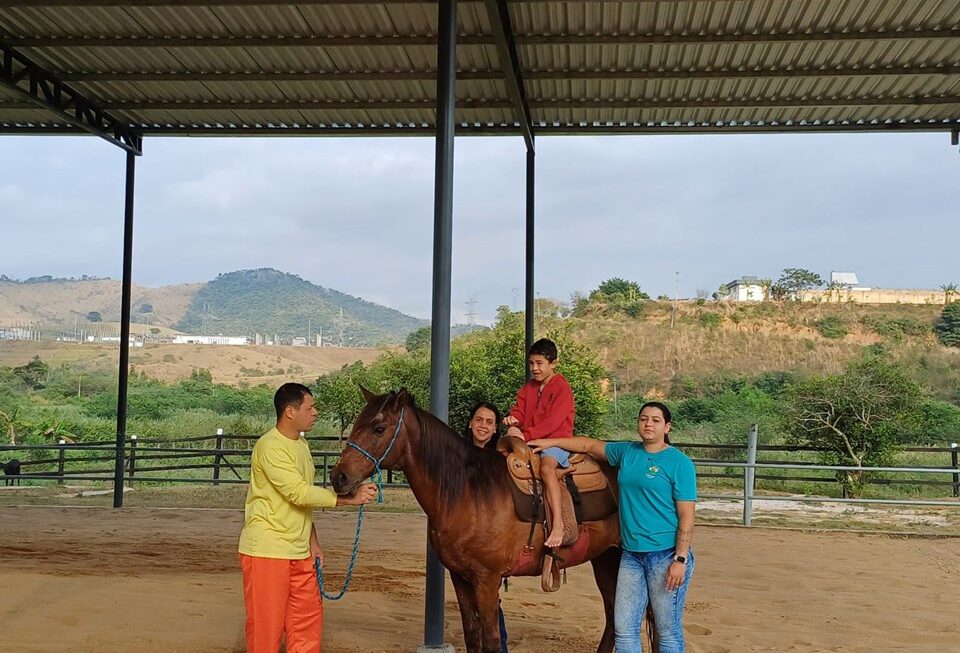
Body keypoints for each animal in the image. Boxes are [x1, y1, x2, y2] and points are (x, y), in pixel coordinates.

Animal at [328, 390, 624, 648]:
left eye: (378, 428)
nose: (338, 477)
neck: (469, 492)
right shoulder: (460, 577)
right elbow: (472, 634)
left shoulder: (487, 579)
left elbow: (491, 639)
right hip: (606, 559)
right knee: (613, 617)